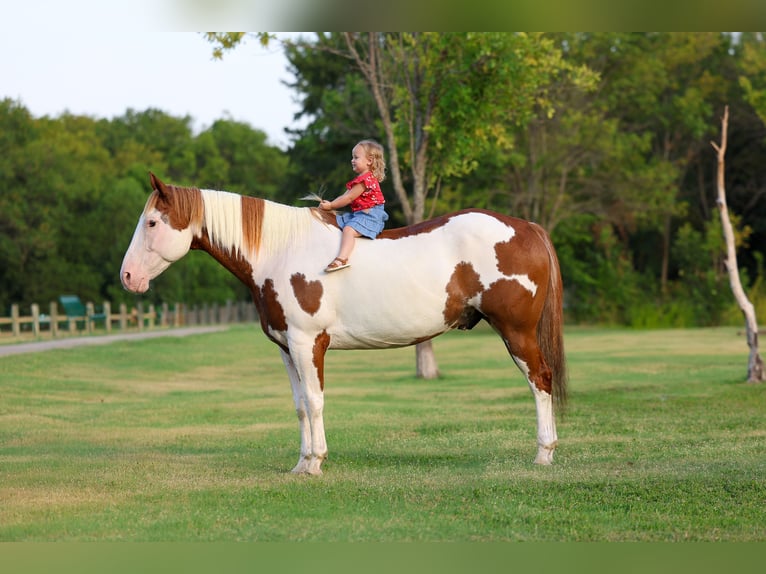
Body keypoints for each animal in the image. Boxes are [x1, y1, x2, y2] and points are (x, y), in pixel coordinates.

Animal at [120, 173, 568, 475]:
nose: (127, 277)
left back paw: (544, 454)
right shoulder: (287, 349)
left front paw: (316, 462)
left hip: (516, 332)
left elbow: (316, 401)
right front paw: (301, 464)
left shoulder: (308, 344)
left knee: (541, 380)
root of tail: (527, 227)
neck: (280, 250)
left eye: (152, 223)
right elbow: (300, 405)